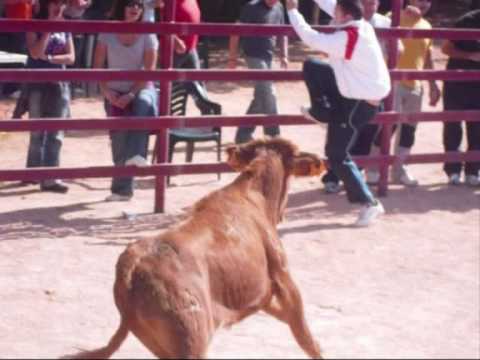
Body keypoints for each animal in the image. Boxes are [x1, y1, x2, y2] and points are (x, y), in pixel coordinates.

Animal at [70, 138, 326, 360]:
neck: (255, 197)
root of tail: (131, 268)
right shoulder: (284, 279)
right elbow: (306, 337)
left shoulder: (263, 296)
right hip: (192, 339)